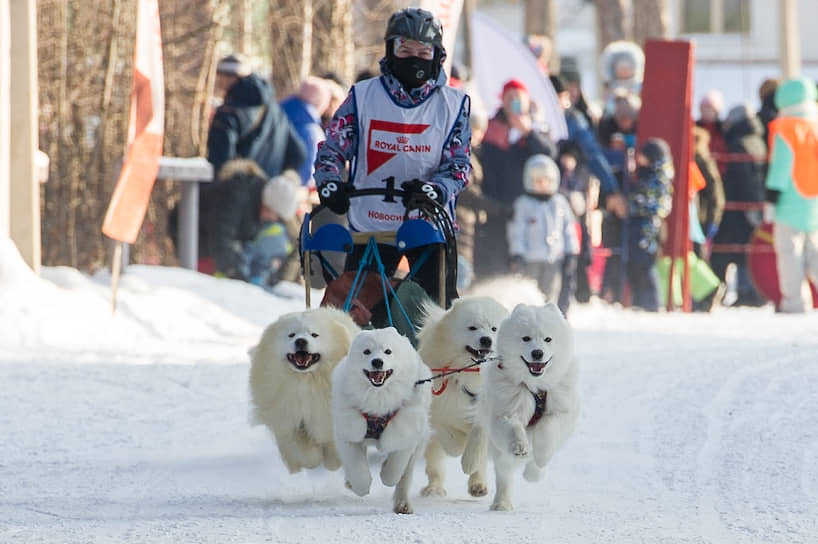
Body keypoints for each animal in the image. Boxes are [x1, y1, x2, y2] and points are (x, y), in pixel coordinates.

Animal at [247, 308, 358, 474]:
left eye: (314, 335)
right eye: (291, 335)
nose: (300, 341)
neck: (304, 382)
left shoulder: (328, 422)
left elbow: (333, 452)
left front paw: (331, 468)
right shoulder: (287, 423)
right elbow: (304, 454)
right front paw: (308, 465)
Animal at [332, 328, 434, 516]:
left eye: (388, 351)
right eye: (366, 351)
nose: (377, 361)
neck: (378, 398)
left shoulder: (406, 429)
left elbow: (396, 466)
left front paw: (386, 476)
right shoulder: (349, 431)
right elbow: (356, 467)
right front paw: (361, 487)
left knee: (406, 475)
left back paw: (403, 505)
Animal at [418, 298, 506, 498]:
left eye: (494, 328)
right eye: (472, 327)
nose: (486, 340)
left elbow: (479, 435)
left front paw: (468, 461)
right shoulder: (439, 410)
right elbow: (449, 436)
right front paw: (458, 446)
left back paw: (478, 485)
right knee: (435, 466)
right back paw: (434, 488)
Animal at [460, 304, 580, 512]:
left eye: (548, 339)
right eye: (526, 338)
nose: (537, 353)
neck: (535, 387)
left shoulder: (562, 411)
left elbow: (548, 428)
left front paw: (541, 457)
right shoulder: (505, 409)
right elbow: (512, 427)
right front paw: (519, 446)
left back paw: (533, 473)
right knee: (493, 457)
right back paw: (500, 502)